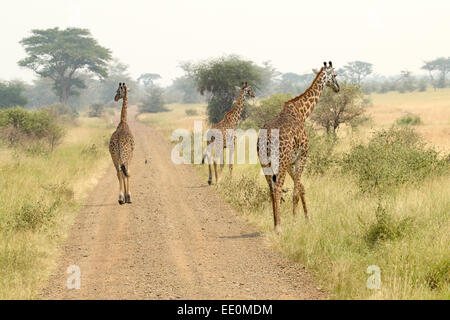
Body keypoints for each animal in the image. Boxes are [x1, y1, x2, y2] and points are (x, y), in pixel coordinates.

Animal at [258, 61, 340, 231]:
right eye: (335, 75)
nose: (338, 88)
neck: (302, 112)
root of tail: (266, 139)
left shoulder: (291, 161)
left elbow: (301, 187)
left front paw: (307, 219)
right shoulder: (302, 156)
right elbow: (296, 190)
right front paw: (295, 221)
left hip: (265, 164)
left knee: (271, 190)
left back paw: (275, 223)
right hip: (280, 162)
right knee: (277, 188)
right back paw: (279, 227)